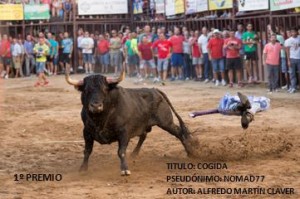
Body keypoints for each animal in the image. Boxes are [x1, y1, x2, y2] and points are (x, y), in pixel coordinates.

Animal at [65, 71, 196, 176]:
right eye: (87, 90)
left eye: (105, 89)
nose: (96, 106)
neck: (101, 117)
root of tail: (154, 90)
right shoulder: (86, 132)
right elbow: (87, 151)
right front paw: (83, 168)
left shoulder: (124, 132)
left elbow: (121, 151)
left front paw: (124, 169)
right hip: (146, 124)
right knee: (144, 135)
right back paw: (134, 154)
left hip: (166, 122)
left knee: (179, 133)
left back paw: (192, 153)